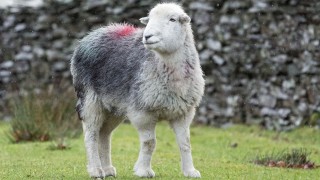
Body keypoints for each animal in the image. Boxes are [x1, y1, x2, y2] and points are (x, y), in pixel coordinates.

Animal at [70, 2, 205, 179]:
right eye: (149, 19)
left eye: (172, 19)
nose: (147, 36)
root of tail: (91, 34)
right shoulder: (143, 112)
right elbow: (149, 143)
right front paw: (144, 171)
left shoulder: (183, 112)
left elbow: (185, 143)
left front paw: (190, 171)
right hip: (90, 100)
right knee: (91, 135)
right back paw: (96, 170)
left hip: (113, 107)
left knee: (104, 135)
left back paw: (107, 169)